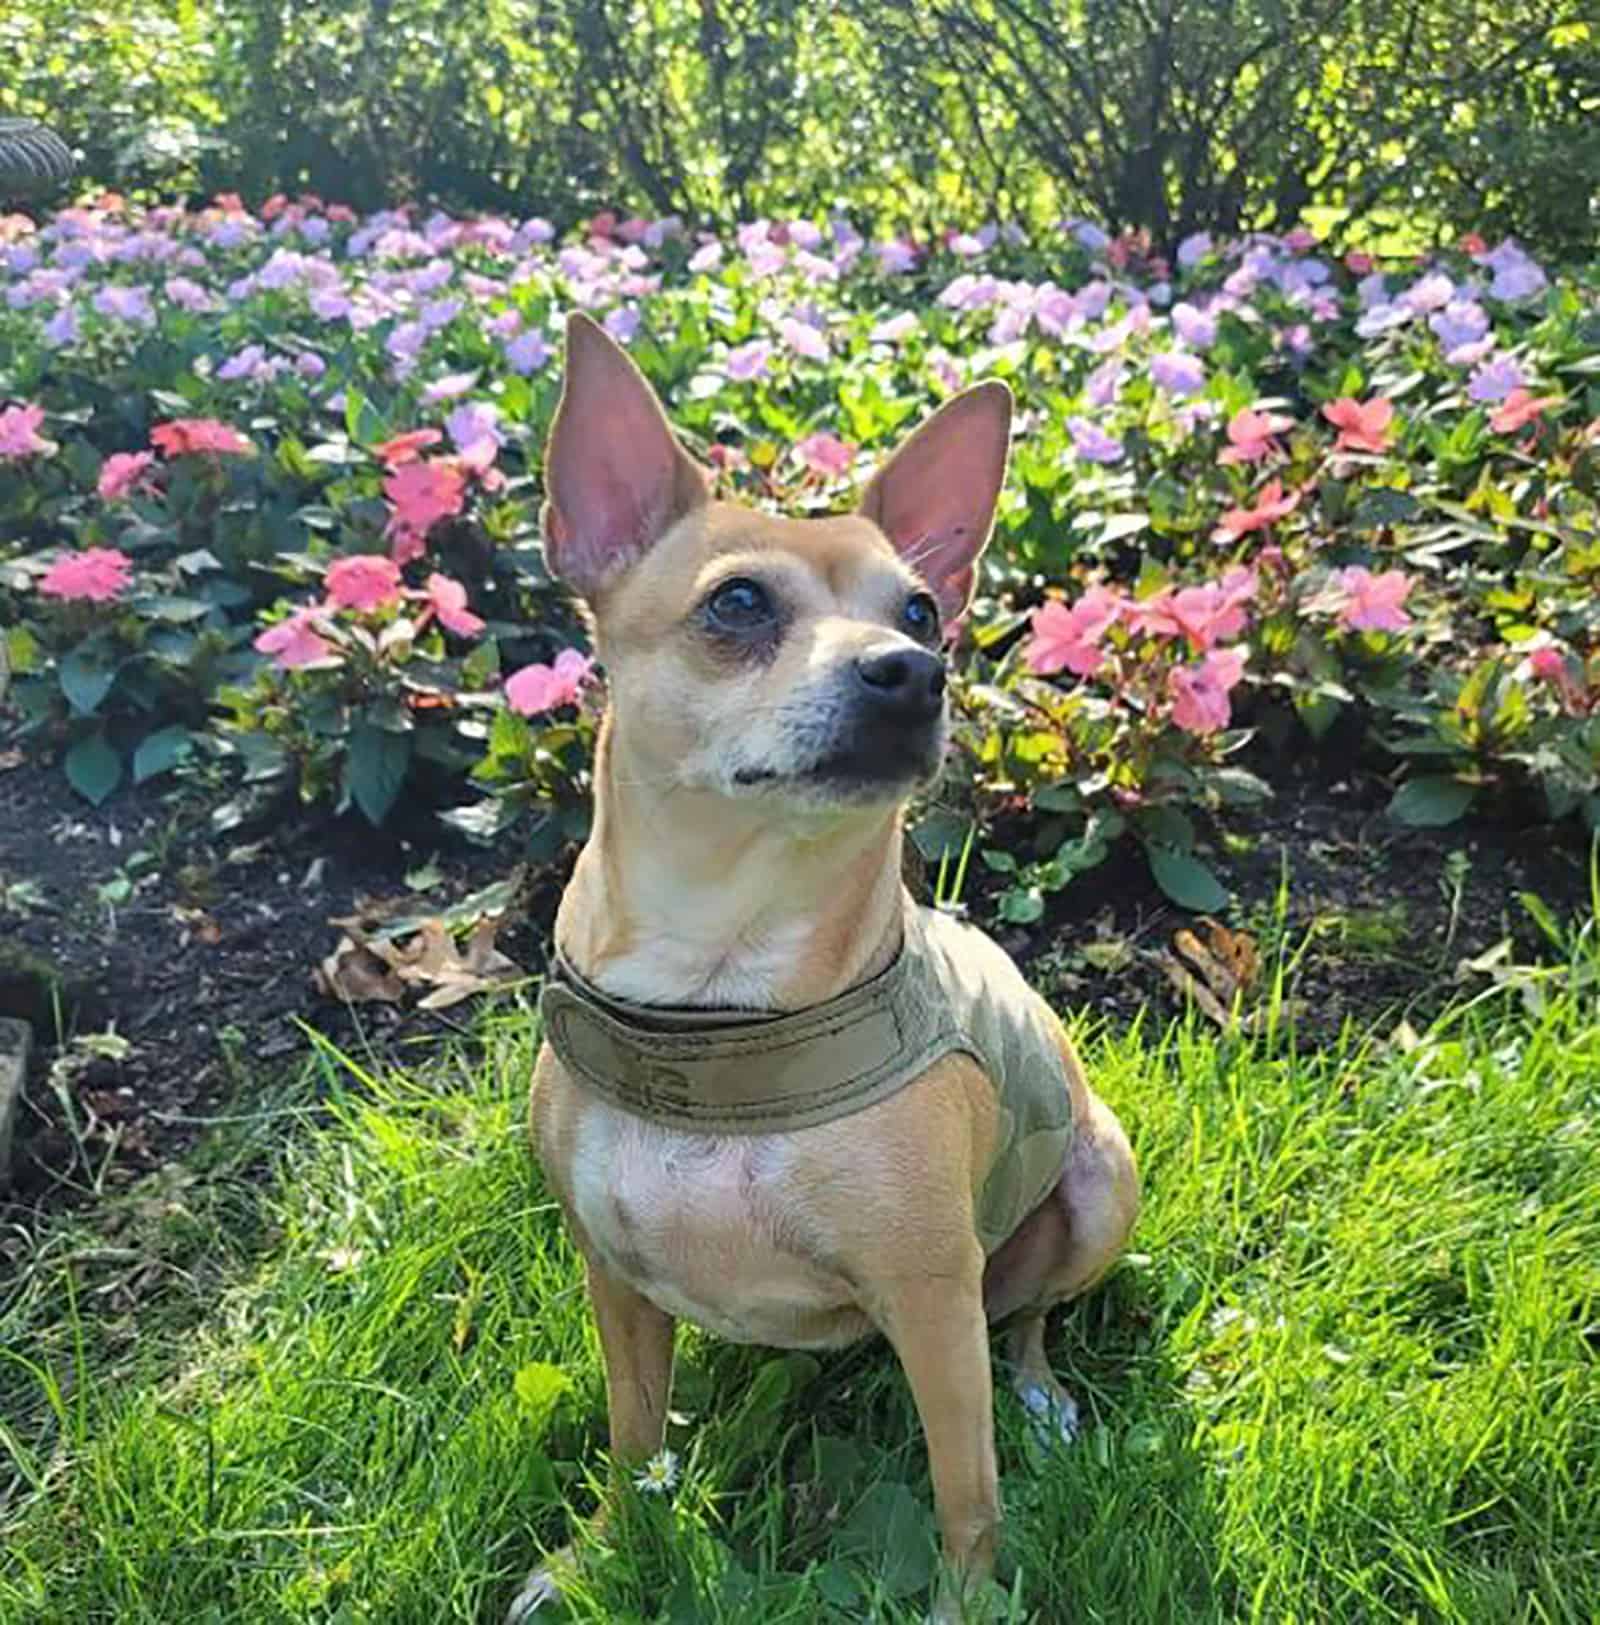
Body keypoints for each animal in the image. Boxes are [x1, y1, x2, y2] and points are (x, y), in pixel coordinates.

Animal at [510, 310, 1137, 1618]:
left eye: (922, 612)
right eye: (738, 601)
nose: (910, 671)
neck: (720, 1003)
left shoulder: (933, 1306)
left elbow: (965, 1494)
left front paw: (964, 1601)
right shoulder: (613, 1280)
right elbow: (631, 1436)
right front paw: (599, 1553)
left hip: (1098, 1189)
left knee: (1029, 1319)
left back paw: (1046, 1398)